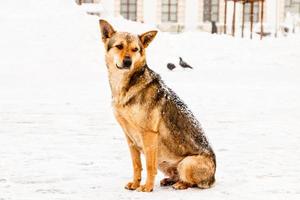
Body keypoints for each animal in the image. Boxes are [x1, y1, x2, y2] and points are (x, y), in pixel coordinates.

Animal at [98, 19, 216, 192]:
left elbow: (149, 165)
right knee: (174, 175)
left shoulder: (149, 134)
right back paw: (169, 180)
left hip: (187, 163)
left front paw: (147, 187)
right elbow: (136, 165)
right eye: (119, 46)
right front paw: (135, 184)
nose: (128, 61)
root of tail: (213, 178)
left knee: (190, 182)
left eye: (135, 49)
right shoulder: (129, 137)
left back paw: (180, 184)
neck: (125, 85)